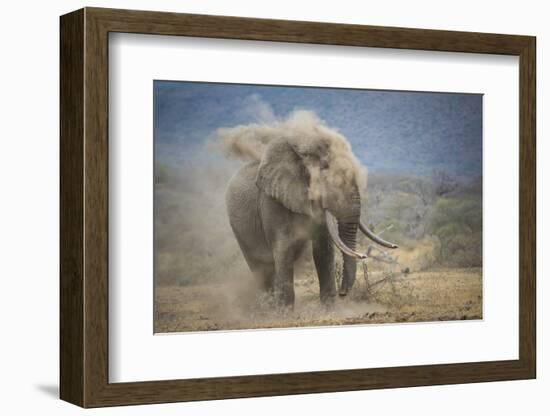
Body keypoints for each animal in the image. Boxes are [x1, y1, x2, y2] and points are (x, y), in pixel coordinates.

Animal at [226, 118, 398, 308]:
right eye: (324, 171)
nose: (343, 293)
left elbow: (324, 249)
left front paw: (329, 308)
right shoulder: (271, 201)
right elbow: (284, 249)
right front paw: (285, 312)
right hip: (238, 229)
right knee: (259, 266)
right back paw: (267, 307)